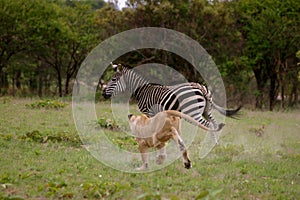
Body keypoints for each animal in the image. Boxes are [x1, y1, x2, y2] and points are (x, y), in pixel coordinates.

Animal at [102, 64, 240, 144]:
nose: (103, 94)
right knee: (215, 123)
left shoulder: (148, 112)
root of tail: (201, 89)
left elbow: (150, 127)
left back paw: (212, 144)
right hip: (206, 110)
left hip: (193, 112)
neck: (142, 91)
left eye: (113, 79)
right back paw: (214, 143)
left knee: (208, 124)